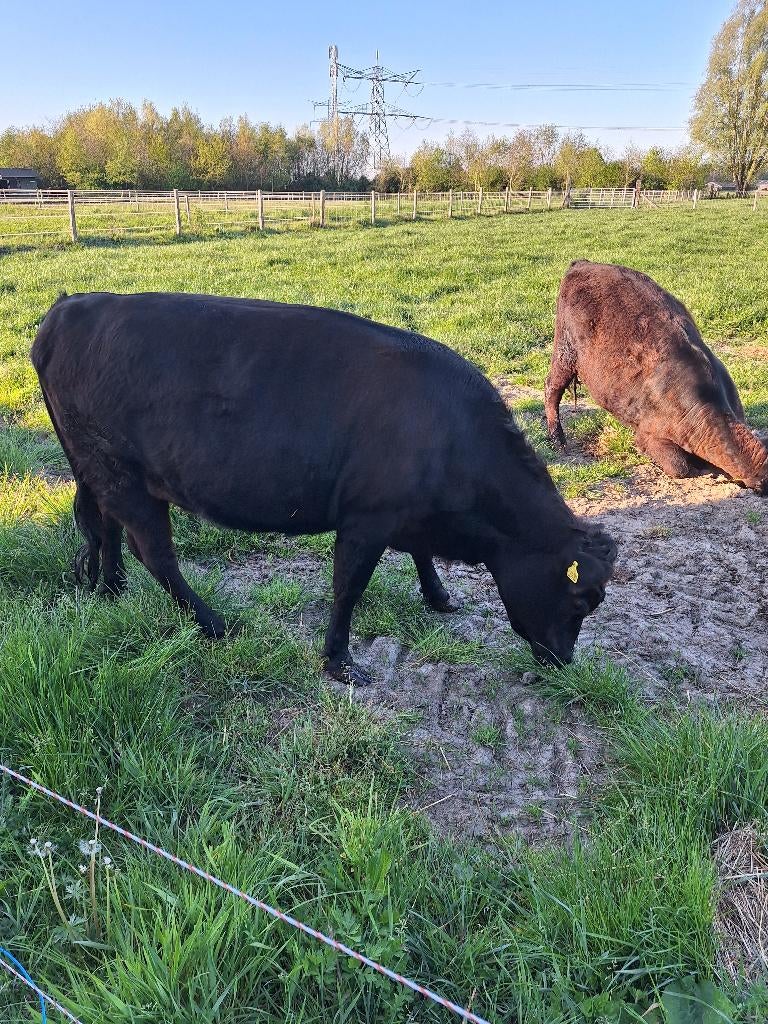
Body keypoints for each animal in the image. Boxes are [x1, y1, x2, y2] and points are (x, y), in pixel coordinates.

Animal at [32, 292, 616, 683]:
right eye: (582, 600)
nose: (564, 661)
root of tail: (69, 308)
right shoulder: (367, 518)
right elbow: (348, 588)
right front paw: (340, 661)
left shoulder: (404, 511)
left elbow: (420, 554)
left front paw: (439, 597)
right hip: (120, 473)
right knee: (152, 551)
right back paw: (214, 624)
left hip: (101, 471)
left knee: (106, 529)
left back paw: (111, 589)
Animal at [545, 260, 768, 494]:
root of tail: (583, 264)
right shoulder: (649, 434)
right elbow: (679, 467)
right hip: (565, 350)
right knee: (552, 388)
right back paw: (557, 439)